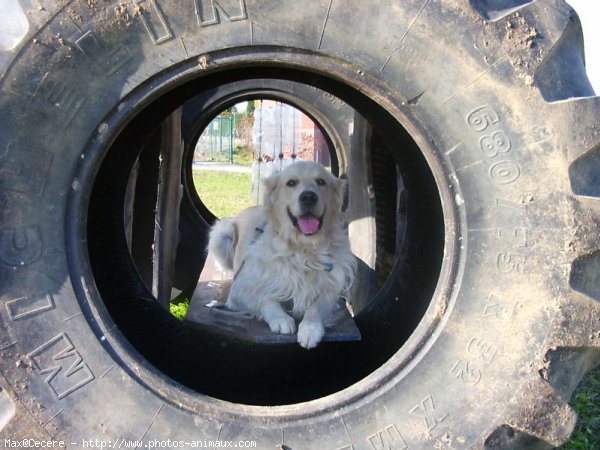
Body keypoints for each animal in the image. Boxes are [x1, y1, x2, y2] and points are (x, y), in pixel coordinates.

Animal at [207, 161, 356, 348]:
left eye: (321, 182)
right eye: (291, 183)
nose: (308, 197)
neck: (303, 248)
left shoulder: (331, 291)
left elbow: (316, 307)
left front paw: (310, 328)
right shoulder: (241, 290)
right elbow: (266, 298)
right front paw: (281, 319)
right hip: (221, 232)